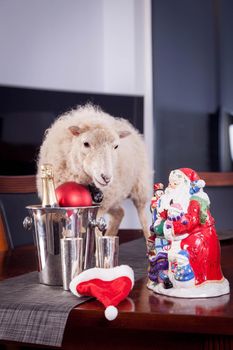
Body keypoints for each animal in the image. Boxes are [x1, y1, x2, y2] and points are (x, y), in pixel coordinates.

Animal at [36, 104, 151, 238]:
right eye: (86, 144)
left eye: (116, 146)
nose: (106, 178)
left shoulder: (97, 210)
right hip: (113, 198)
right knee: (120, 213)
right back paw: (110, 235)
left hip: (140, 185)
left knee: (142, 215)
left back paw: (149, 240)